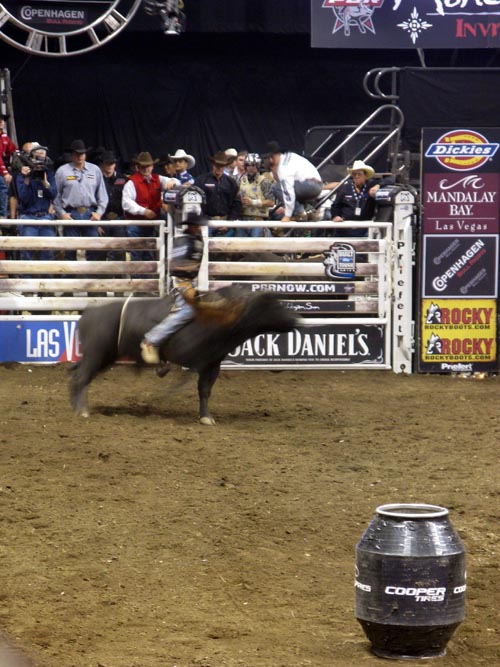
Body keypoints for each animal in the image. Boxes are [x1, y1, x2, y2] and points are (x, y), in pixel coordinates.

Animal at [70, 288, 300, 425]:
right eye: (270, 306)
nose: (296, 321)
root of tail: (87, 315)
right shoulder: (192, 360)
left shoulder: (212, 364)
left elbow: (204, 390)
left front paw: (205, 417)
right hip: (96, 354)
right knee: (81, 377)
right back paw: (83, 410)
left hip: (102, 357)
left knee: (76, 374)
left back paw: (75, 405)